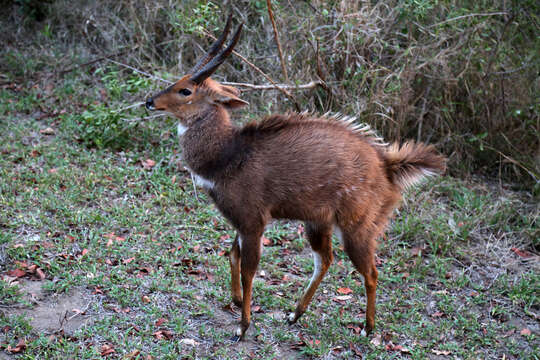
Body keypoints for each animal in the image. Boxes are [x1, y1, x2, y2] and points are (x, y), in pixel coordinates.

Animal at [146, 14, 446, 340]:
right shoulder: (240, 221)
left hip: (357, 227)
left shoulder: (253, 221)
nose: (150, 101)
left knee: (371, 271)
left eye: (186, 90)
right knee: (325, 259)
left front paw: (243, 326)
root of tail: (387, 165)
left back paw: (367, 328)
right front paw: (236, 301)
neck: (228, 154)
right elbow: (232, 254)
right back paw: (294, 314)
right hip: (318, 222)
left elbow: (249, 270)